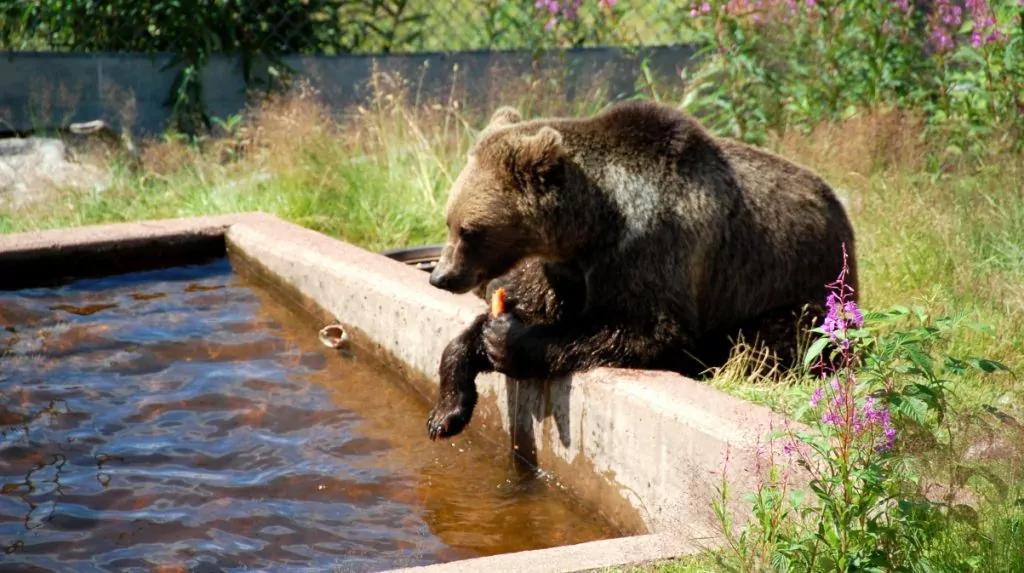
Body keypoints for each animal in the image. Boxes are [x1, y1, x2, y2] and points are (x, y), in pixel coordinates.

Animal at [421, 99, 856, 437]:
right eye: (449, 221)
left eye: (470, 231)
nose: (441, 276)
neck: (593, 226)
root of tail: (840, 211)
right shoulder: (565, 270)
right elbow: (533, 306)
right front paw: (446, 411)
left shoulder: (649, 249)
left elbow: (644, 329)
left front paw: (508, 340)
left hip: (795, 287)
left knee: (772, 341)